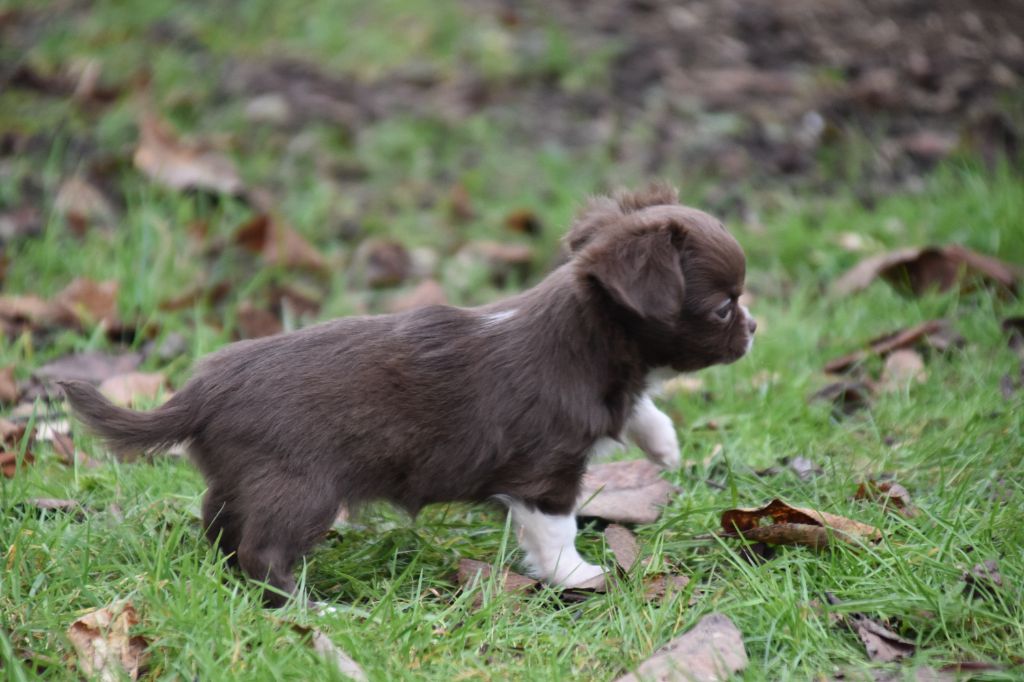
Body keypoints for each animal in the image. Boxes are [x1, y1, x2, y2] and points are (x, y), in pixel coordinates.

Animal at [61, 182, 753, 606]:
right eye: (723, 307)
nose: (754, 329)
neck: (589, 340)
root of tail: (201, 390)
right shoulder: (544, 471)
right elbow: (555, 529)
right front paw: (577, 575)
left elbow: (641, 407)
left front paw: (664, 446)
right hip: (301, 489)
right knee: (262, 551)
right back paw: (314, 610)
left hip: (241, 480)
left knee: (220, 527)